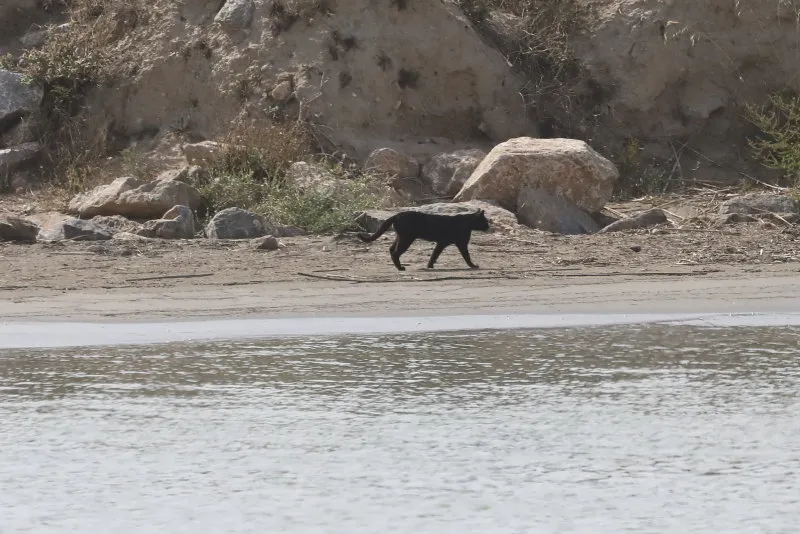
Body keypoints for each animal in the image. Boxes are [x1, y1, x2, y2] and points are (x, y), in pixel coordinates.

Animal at [360, 209, 490, 272]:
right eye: (486, 221)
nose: (489, 226)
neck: (468, 223)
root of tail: (396, 215)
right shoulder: (461, 243)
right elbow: (467, 256)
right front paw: (473, 265)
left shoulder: (441, 243)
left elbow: (435, 254)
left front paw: (429, 265)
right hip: (407, 238)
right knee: (395, 252)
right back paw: (400, 268)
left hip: (401, 237)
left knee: (391, 249)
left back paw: (399, 267)